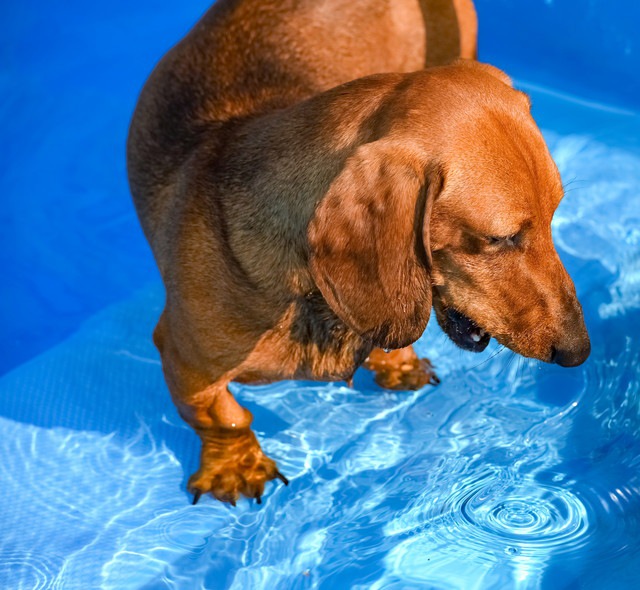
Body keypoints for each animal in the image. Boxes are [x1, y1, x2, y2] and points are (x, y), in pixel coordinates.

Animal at [126, 1, 592, 508]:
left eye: (554, 215)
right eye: (499, 238)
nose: (579, 352)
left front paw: (396, 361)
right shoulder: (185, 361)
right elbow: (223, 418)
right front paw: (234, 466)